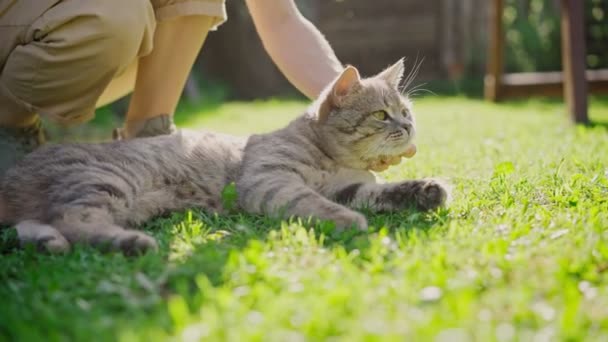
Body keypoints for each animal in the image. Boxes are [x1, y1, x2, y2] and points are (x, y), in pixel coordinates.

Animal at [0, 58, 446, 254]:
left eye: (406, 112)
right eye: (382, 115)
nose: (408, 128)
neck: (333, 159)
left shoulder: (348, 187)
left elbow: (381, 193)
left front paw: (426, 190)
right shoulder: (269, 179)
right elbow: (312, 201)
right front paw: (348, 222)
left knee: (35, 223)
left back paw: (47, 242)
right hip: (105, 182)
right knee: (73, 220)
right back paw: (130, 242)